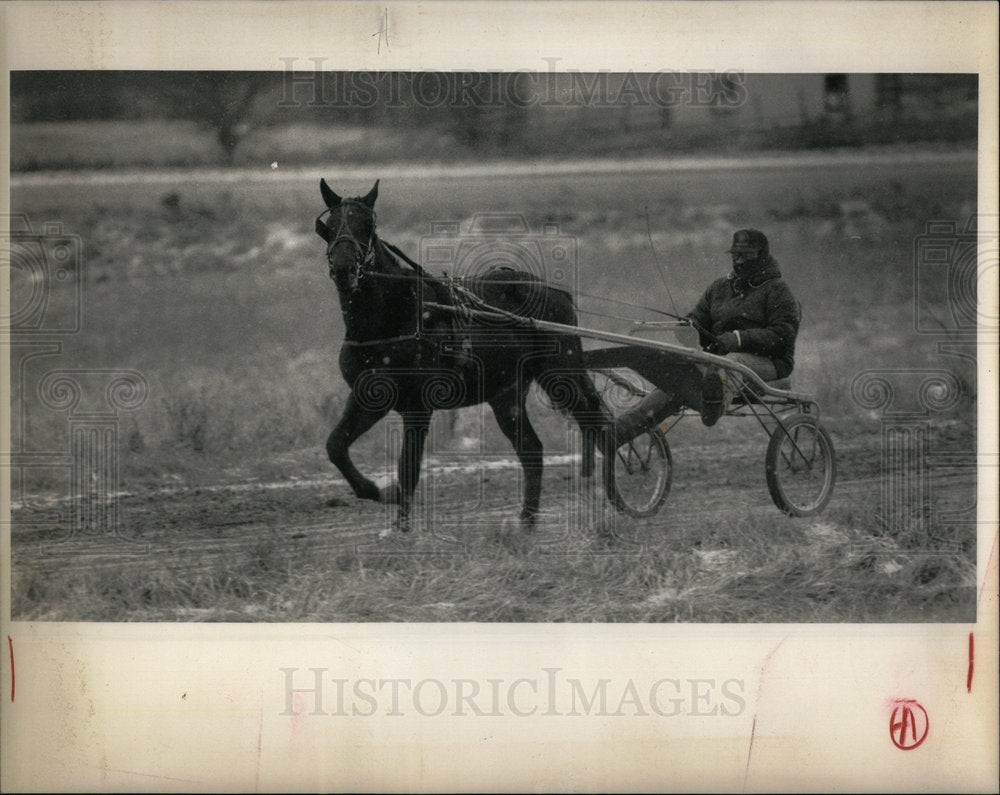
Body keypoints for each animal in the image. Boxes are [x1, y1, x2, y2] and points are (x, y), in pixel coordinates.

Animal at [314, 180, 616, 536]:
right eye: (330, 225)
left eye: (367, 226)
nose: (344, 269)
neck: (394, 318)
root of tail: (557, 292)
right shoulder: (366, 397)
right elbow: (336, 446)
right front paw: (379, 493)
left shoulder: (418, 406)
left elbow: (408, 468)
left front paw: (401, 525)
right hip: (506, 394)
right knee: (532, 451)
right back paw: (527, 521)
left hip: (561, 372)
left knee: (597, 423)